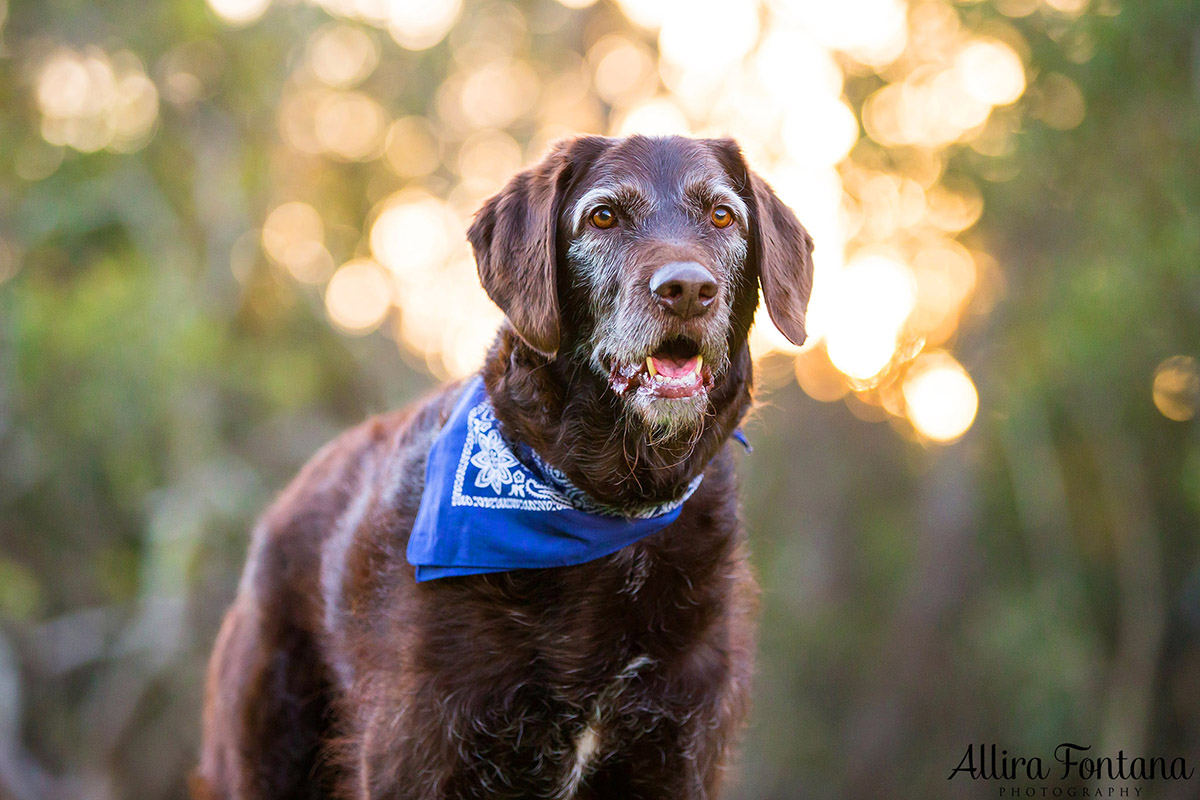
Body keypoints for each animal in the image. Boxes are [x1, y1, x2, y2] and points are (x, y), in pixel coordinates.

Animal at [194, 136, 816, 800]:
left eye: (723, 216)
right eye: (603, 217)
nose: (689, 290)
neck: (610, 510)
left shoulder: (678, 758)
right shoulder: (417, 756)